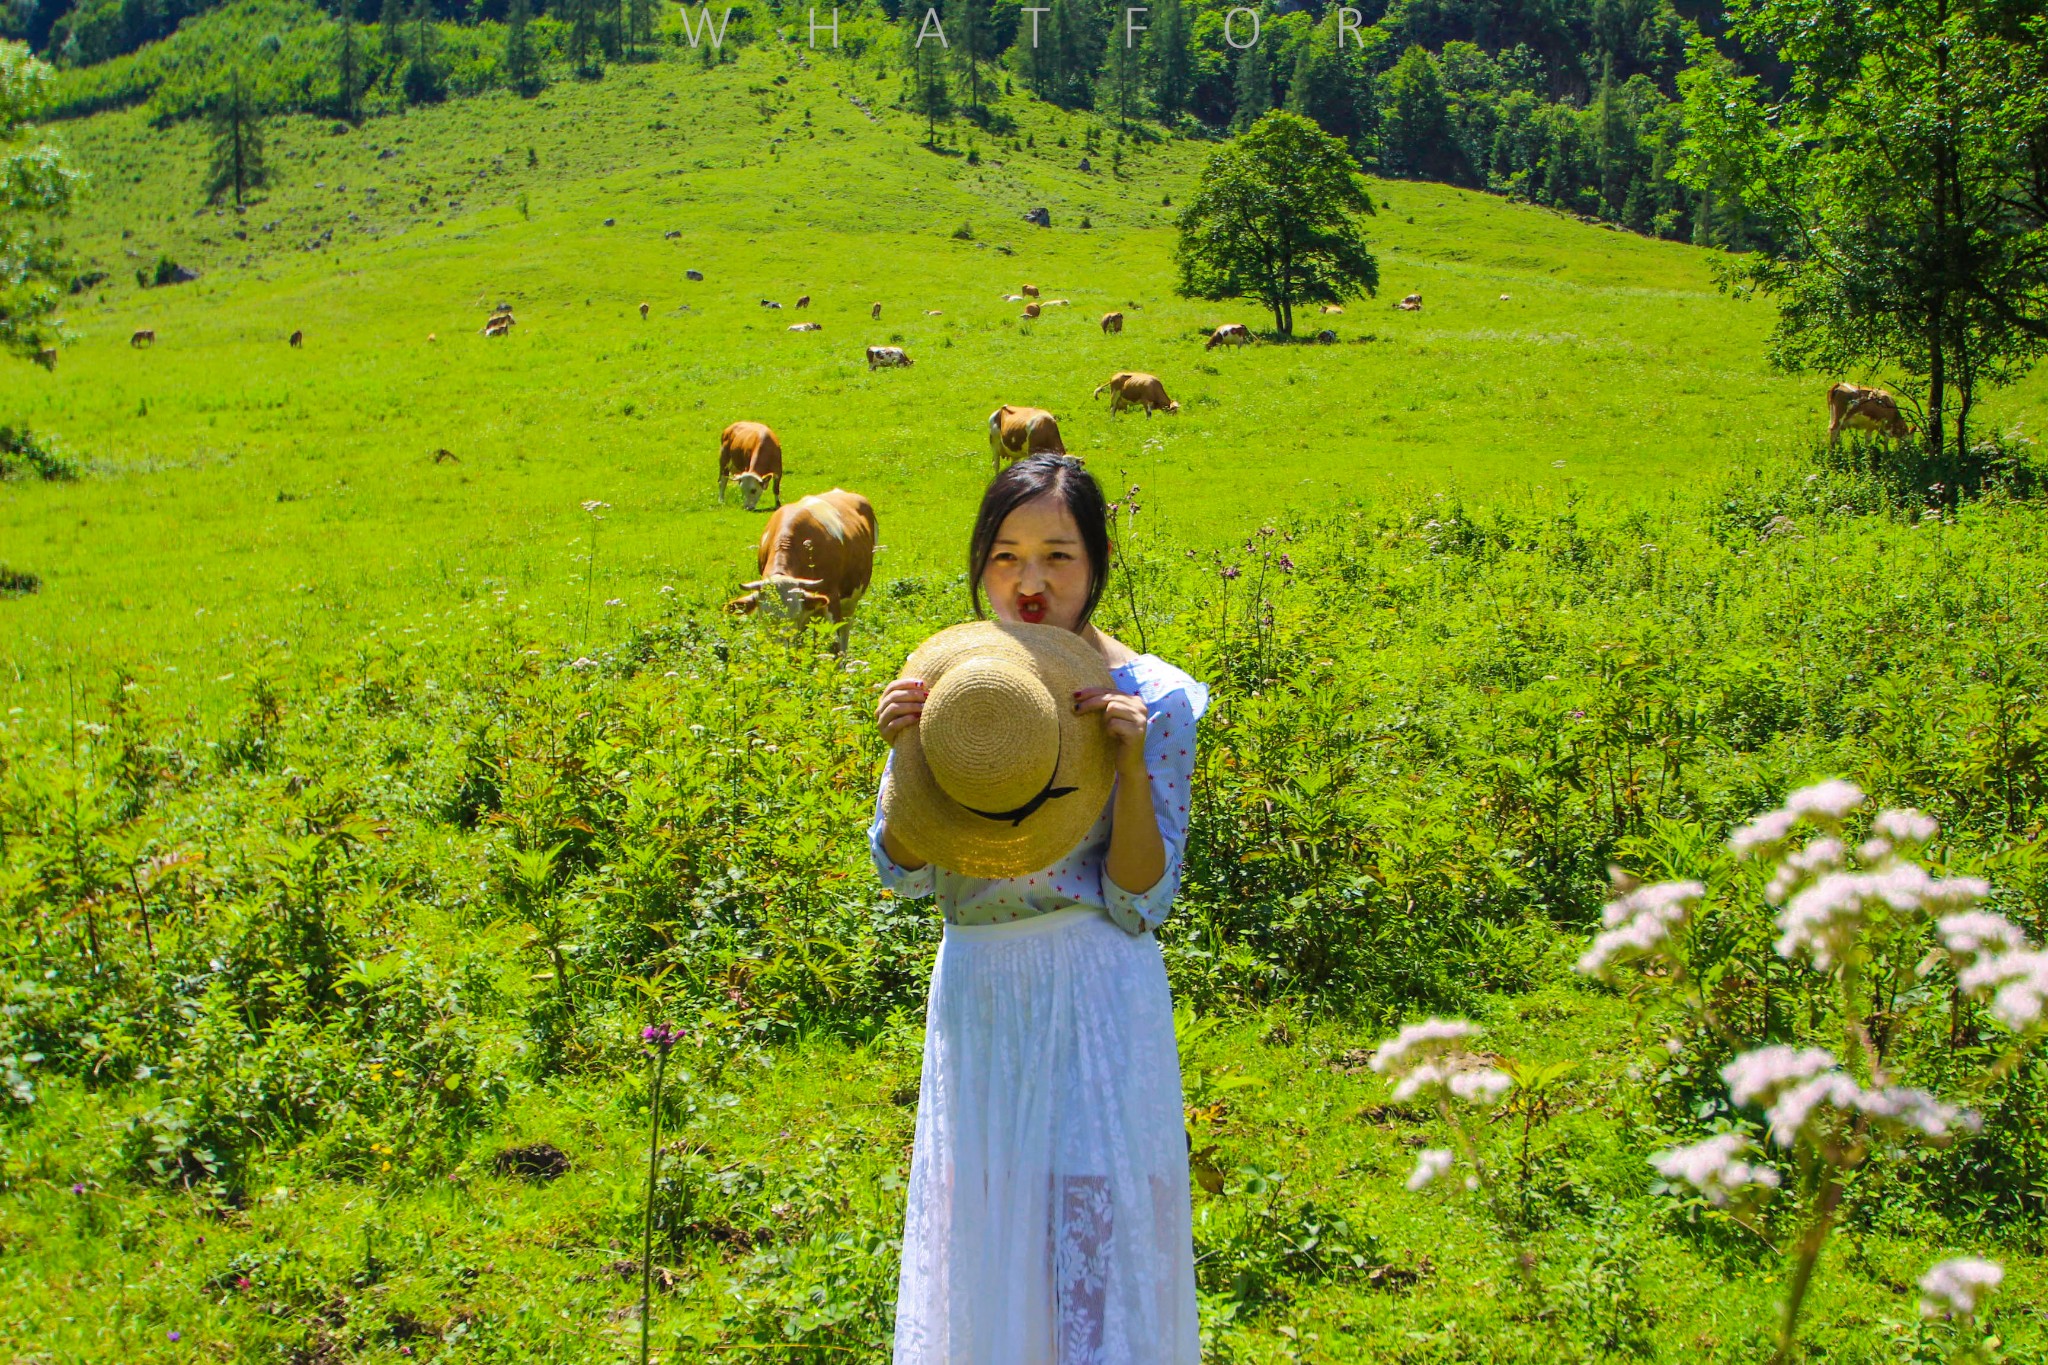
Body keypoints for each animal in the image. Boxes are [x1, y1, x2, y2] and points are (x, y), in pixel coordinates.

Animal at [724, 491, 876, 654]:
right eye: (764, 617)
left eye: (795, 616)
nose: (781, 649)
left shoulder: (832, 600)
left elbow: (835, 646)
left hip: (851, 602)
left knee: (845, 631)